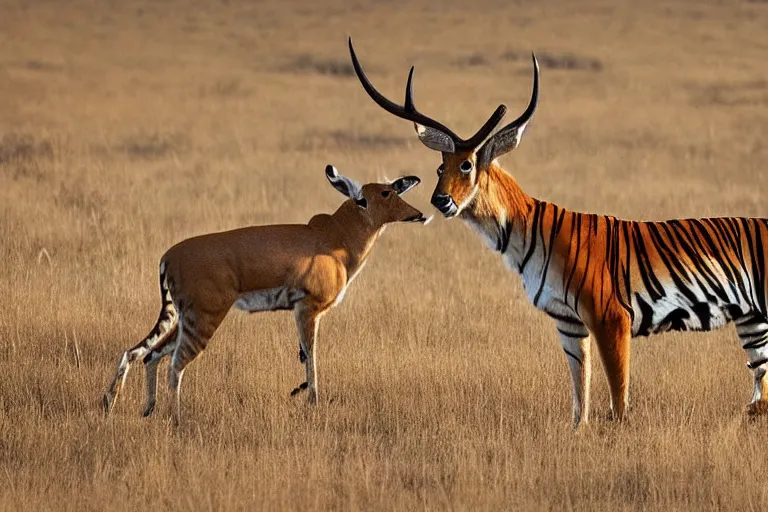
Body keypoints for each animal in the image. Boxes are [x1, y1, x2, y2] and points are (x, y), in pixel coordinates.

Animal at [101, 166, 426, 422]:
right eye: (386, 192)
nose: (418, 214)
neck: (336, 240)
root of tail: (168, 257)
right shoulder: (308, 309)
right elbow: (312, 356)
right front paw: (313, 403)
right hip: (202, 321)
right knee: (174, 365)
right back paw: (177, 420)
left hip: (180, 320)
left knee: (146, 354)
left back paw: (134, 408)